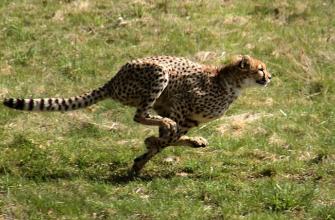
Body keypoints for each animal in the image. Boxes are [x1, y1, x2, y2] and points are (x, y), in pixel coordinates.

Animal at [3, 54, 272, 175]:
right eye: (260, 69)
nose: (270, 76)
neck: (230, 83)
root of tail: (113, 80)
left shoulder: (184, 115)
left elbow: (168, 138)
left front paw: (143, 157)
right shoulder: (181, 104)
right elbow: (166, 136)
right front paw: (147, 149)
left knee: (156, 121)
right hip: (158, 73)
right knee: (140, 115)